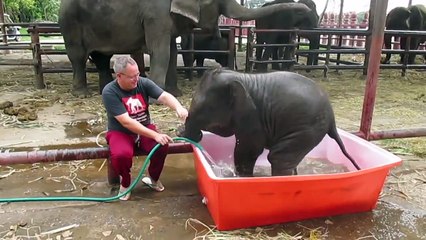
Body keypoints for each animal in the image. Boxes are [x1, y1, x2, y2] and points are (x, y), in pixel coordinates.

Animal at [57, 0, 310, 96]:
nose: (306, 9)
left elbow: (171, 50)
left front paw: (174, 92)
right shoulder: (155, 13)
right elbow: (160, 50)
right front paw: (158, 93)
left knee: (101, 57)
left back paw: (103, 89)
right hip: (70, 20)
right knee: (77, 55)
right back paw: (81, 92)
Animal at [179, 68, 360, 176]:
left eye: (202, 110)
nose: (181, 133)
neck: (242, 77)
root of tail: (332, 118)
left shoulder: (252, 117)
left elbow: (248, 150)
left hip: (307, 129)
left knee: (278, 157)